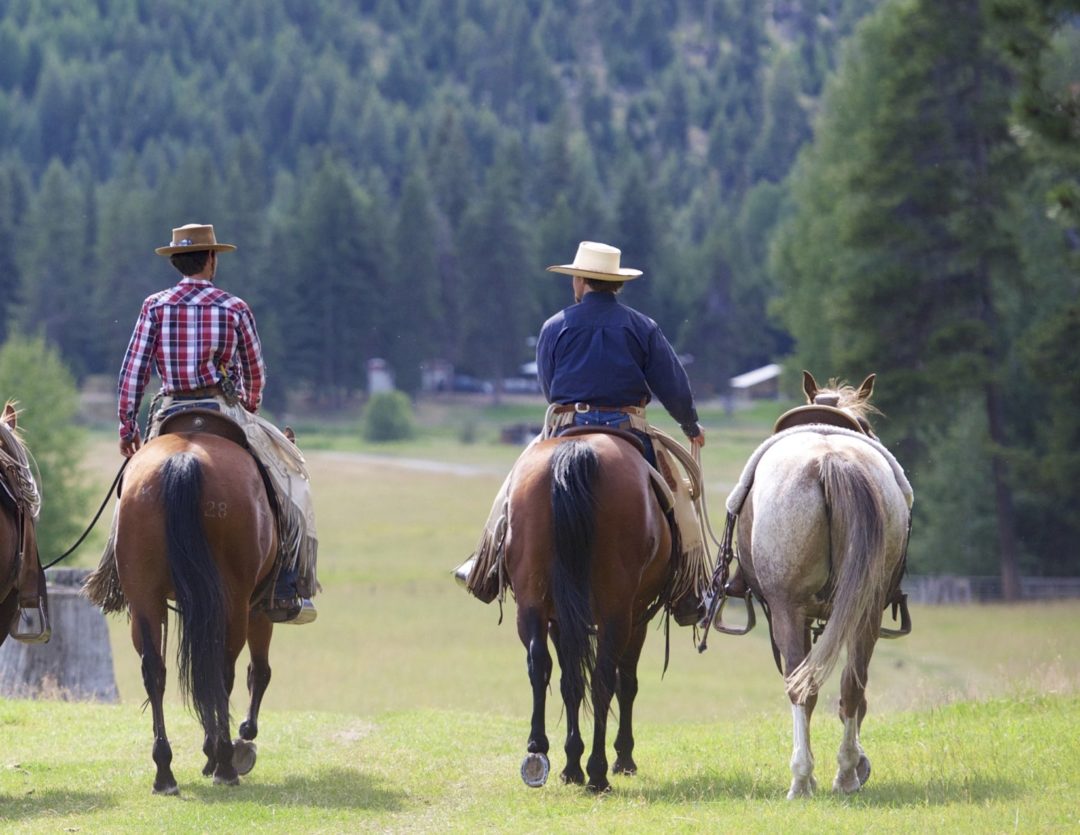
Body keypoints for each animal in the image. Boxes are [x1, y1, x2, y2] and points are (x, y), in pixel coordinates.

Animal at [505, 434, 673, 790]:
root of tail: (577, 451)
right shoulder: (637, 616)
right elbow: (627, 683)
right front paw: (623, 758)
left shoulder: (560, 620)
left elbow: (569, 681)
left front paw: (571, 762)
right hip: (616, 612)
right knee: (603, 680)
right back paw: (598, 772)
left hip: (531, 600)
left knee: (540, 664)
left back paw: (539, 751)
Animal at [730, 373, 907, 799]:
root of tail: (830, 460)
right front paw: (858, 765)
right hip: (865, 610)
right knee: (852, 685)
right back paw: (845, 774)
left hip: (787, 610)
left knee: (801, 688)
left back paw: (802, 778)